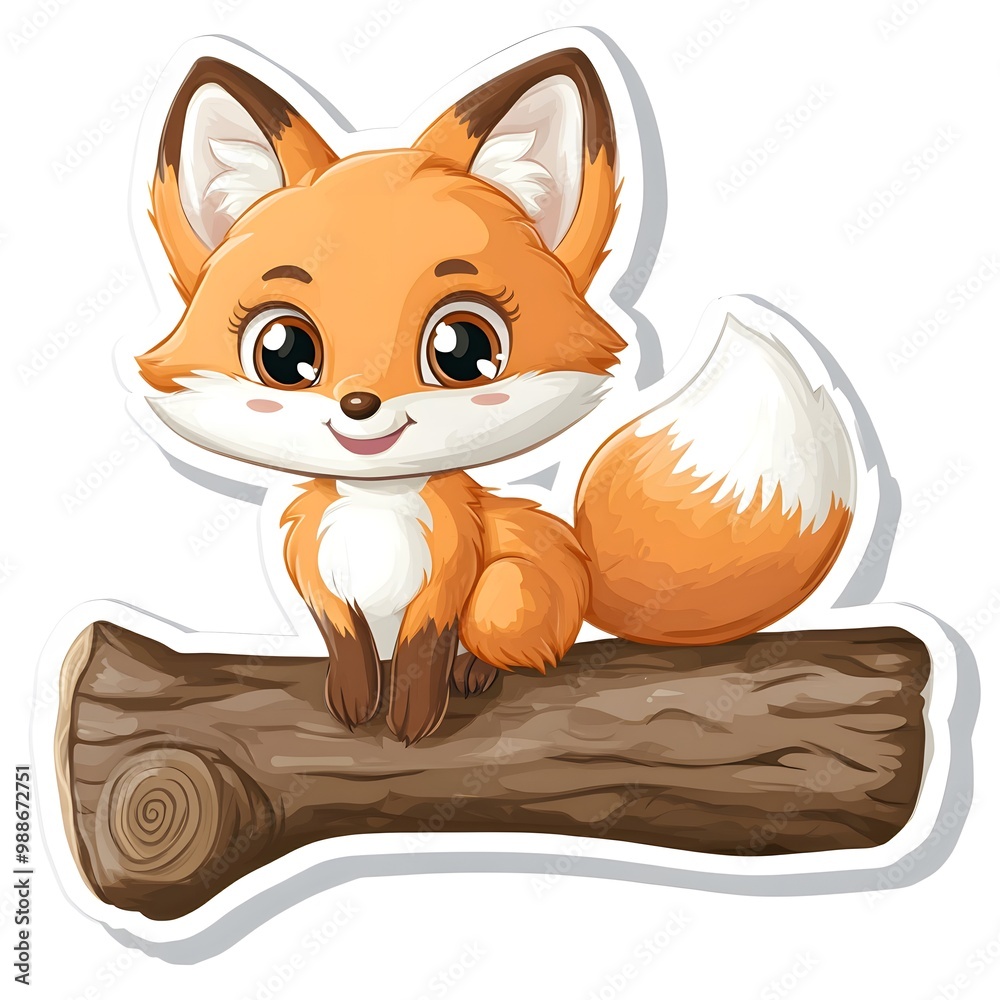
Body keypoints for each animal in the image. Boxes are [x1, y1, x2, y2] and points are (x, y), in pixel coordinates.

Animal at [135, 47, 855, 745]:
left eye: (461, 348)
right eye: (283, 353)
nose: (359, 406)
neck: (377, 508)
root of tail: (583, 573)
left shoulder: (450, 578)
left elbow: (423, 654)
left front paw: (414, 720)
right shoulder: (321, 582)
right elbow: (349, 652)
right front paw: (354, 703)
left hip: (506, 592)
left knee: (517, 648)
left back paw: (477, 674)